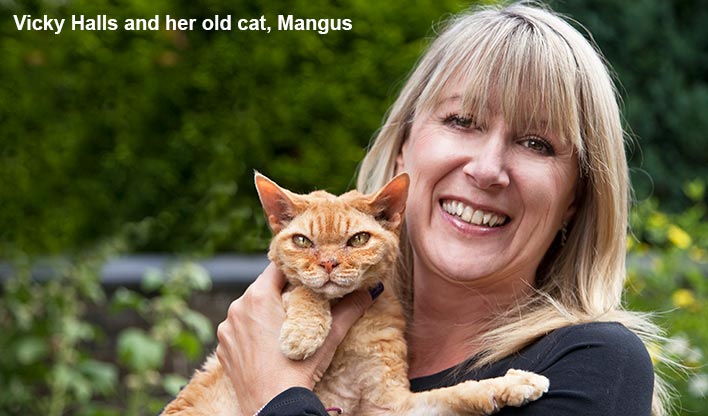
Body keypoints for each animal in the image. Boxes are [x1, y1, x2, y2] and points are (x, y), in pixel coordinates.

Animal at [163, 172, 552, 416]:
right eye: (302, 241)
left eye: (358, 239)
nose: (329, 263)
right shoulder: (288, 291)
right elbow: (304, 291)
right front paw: (302, 335)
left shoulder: (389, 406)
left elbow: (459, 393)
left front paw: (516, 383)